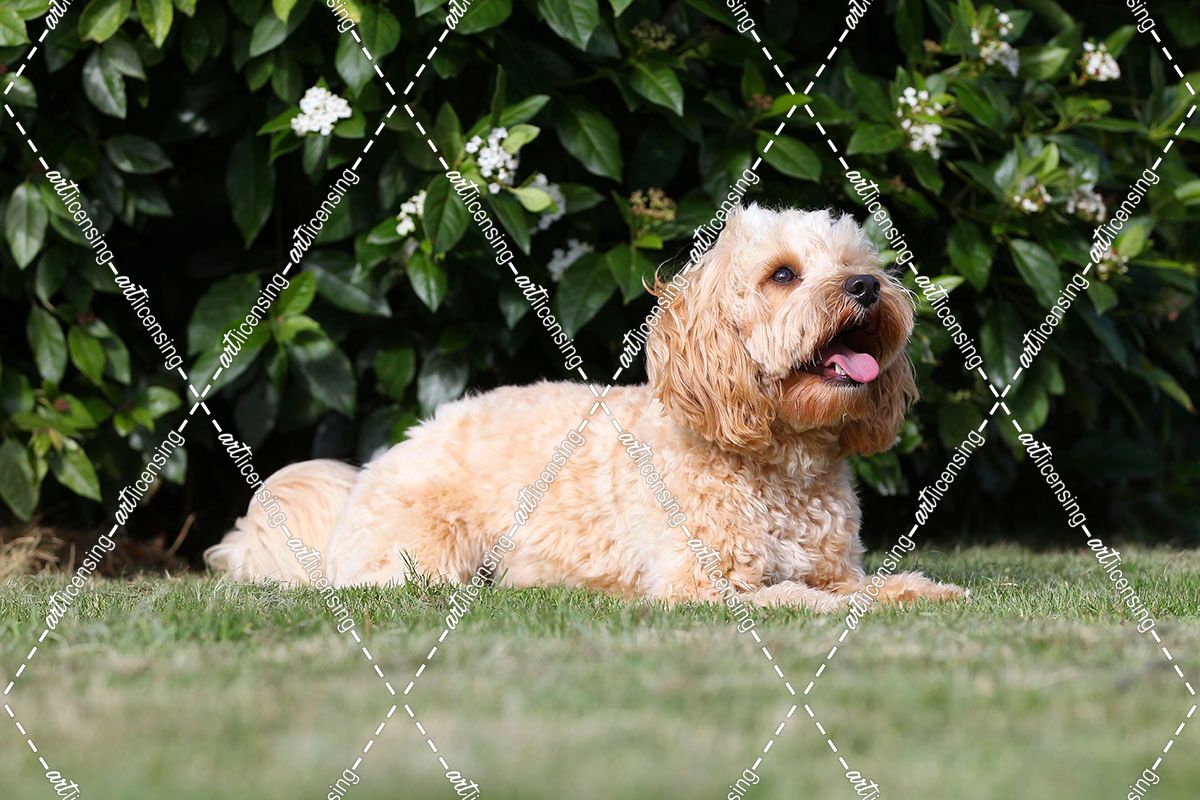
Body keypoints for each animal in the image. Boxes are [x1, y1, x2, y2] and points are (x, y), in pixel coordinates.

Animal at [205, 205, 966, 612]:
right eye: (783, 275)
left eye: (859, 263)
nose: (867, 288)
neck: (777, 459)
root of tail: (371, 470)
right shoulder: (697, 585)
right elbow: (801, 598)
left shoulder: (836, 564)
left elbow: (868, 584)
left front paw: (927, 591)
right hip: (424, 558)